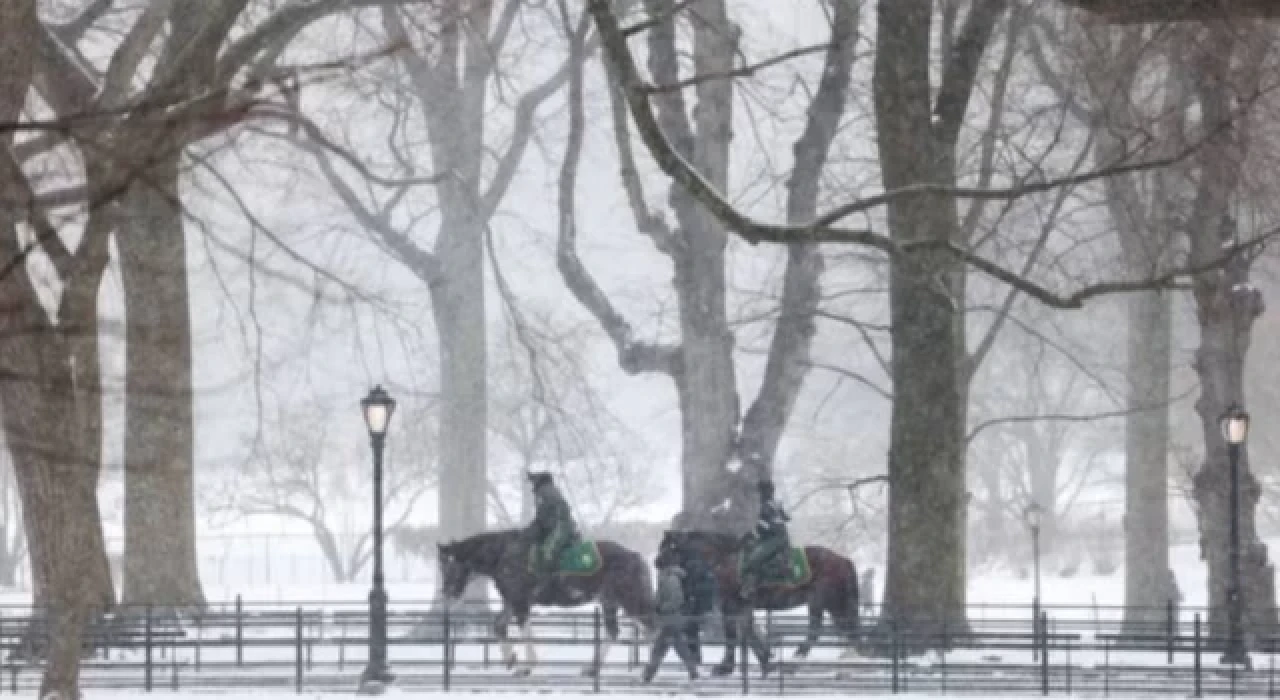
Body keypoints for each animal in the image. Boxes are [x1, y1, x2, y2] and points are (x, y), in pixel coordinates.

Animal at [440, 534, 660, 675]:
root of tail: (635, 556)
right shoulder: (511, 601)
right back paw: (593, 669)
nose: (446, 594)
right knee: (615, 632)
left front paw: (527, 666)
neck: (504, 554)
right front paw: (510, 660)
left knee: (653, 629)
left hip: (631, 602)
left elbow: (524, 630)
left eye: (450, 566)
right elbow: (498, 625)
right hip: (610, 602)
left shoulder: (520, 602)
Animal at [660, 534, 860, 675]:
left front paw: (725, 667)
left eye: (669, 546)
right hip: (832, 604)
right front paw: (766, 660)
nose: (656, 562)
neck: (725, 560)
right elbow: (748, 632)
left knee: (818, 631)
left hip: (823, 601)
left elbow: (733, 635)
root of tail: (842, 559)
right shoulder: (742, 607)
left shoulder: (730, 606)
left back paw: (797, 659)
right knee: (843, 630)